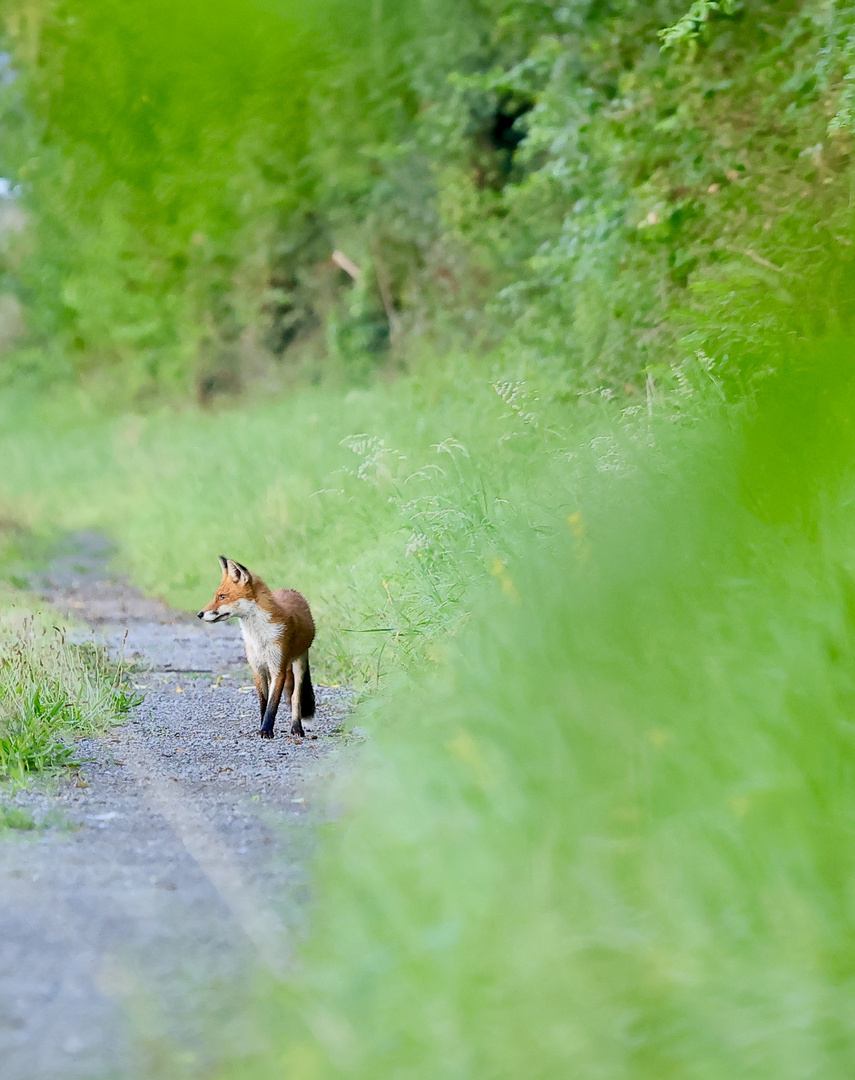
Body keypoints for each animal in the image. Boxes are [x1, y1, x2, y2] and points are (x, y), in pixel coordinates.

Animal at [197, 557, 317, 743]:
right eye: (216, 596)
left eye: (223, 596)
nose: (200, 614)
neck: (258, 637)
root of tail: (291, 590)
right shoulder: (257, 668)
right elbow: (263, 703)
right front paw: (262, 727)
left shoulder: (277, 668)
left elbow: (272, 706)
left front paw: (266, 730)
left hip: (299, 663)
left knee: (295, 698)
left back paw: (297, 728)